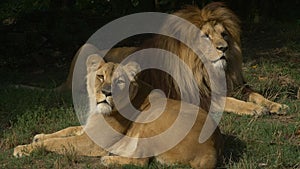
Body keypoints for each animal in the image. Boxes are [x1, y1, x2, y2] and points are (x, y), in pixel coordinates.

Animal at [15, 54, 224, 168]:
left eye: (120, 81)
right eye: (100, 77)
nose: (107, 93)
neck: (96, 109)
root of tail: (211, 148)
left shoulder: (91, 142)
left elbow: (58, 143)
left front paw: (24, 149)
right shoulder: (88, 128)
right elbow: (67, 130)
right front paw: (39, 136)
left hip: (151, 120)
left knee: (141, 161)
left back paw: (108, 160)